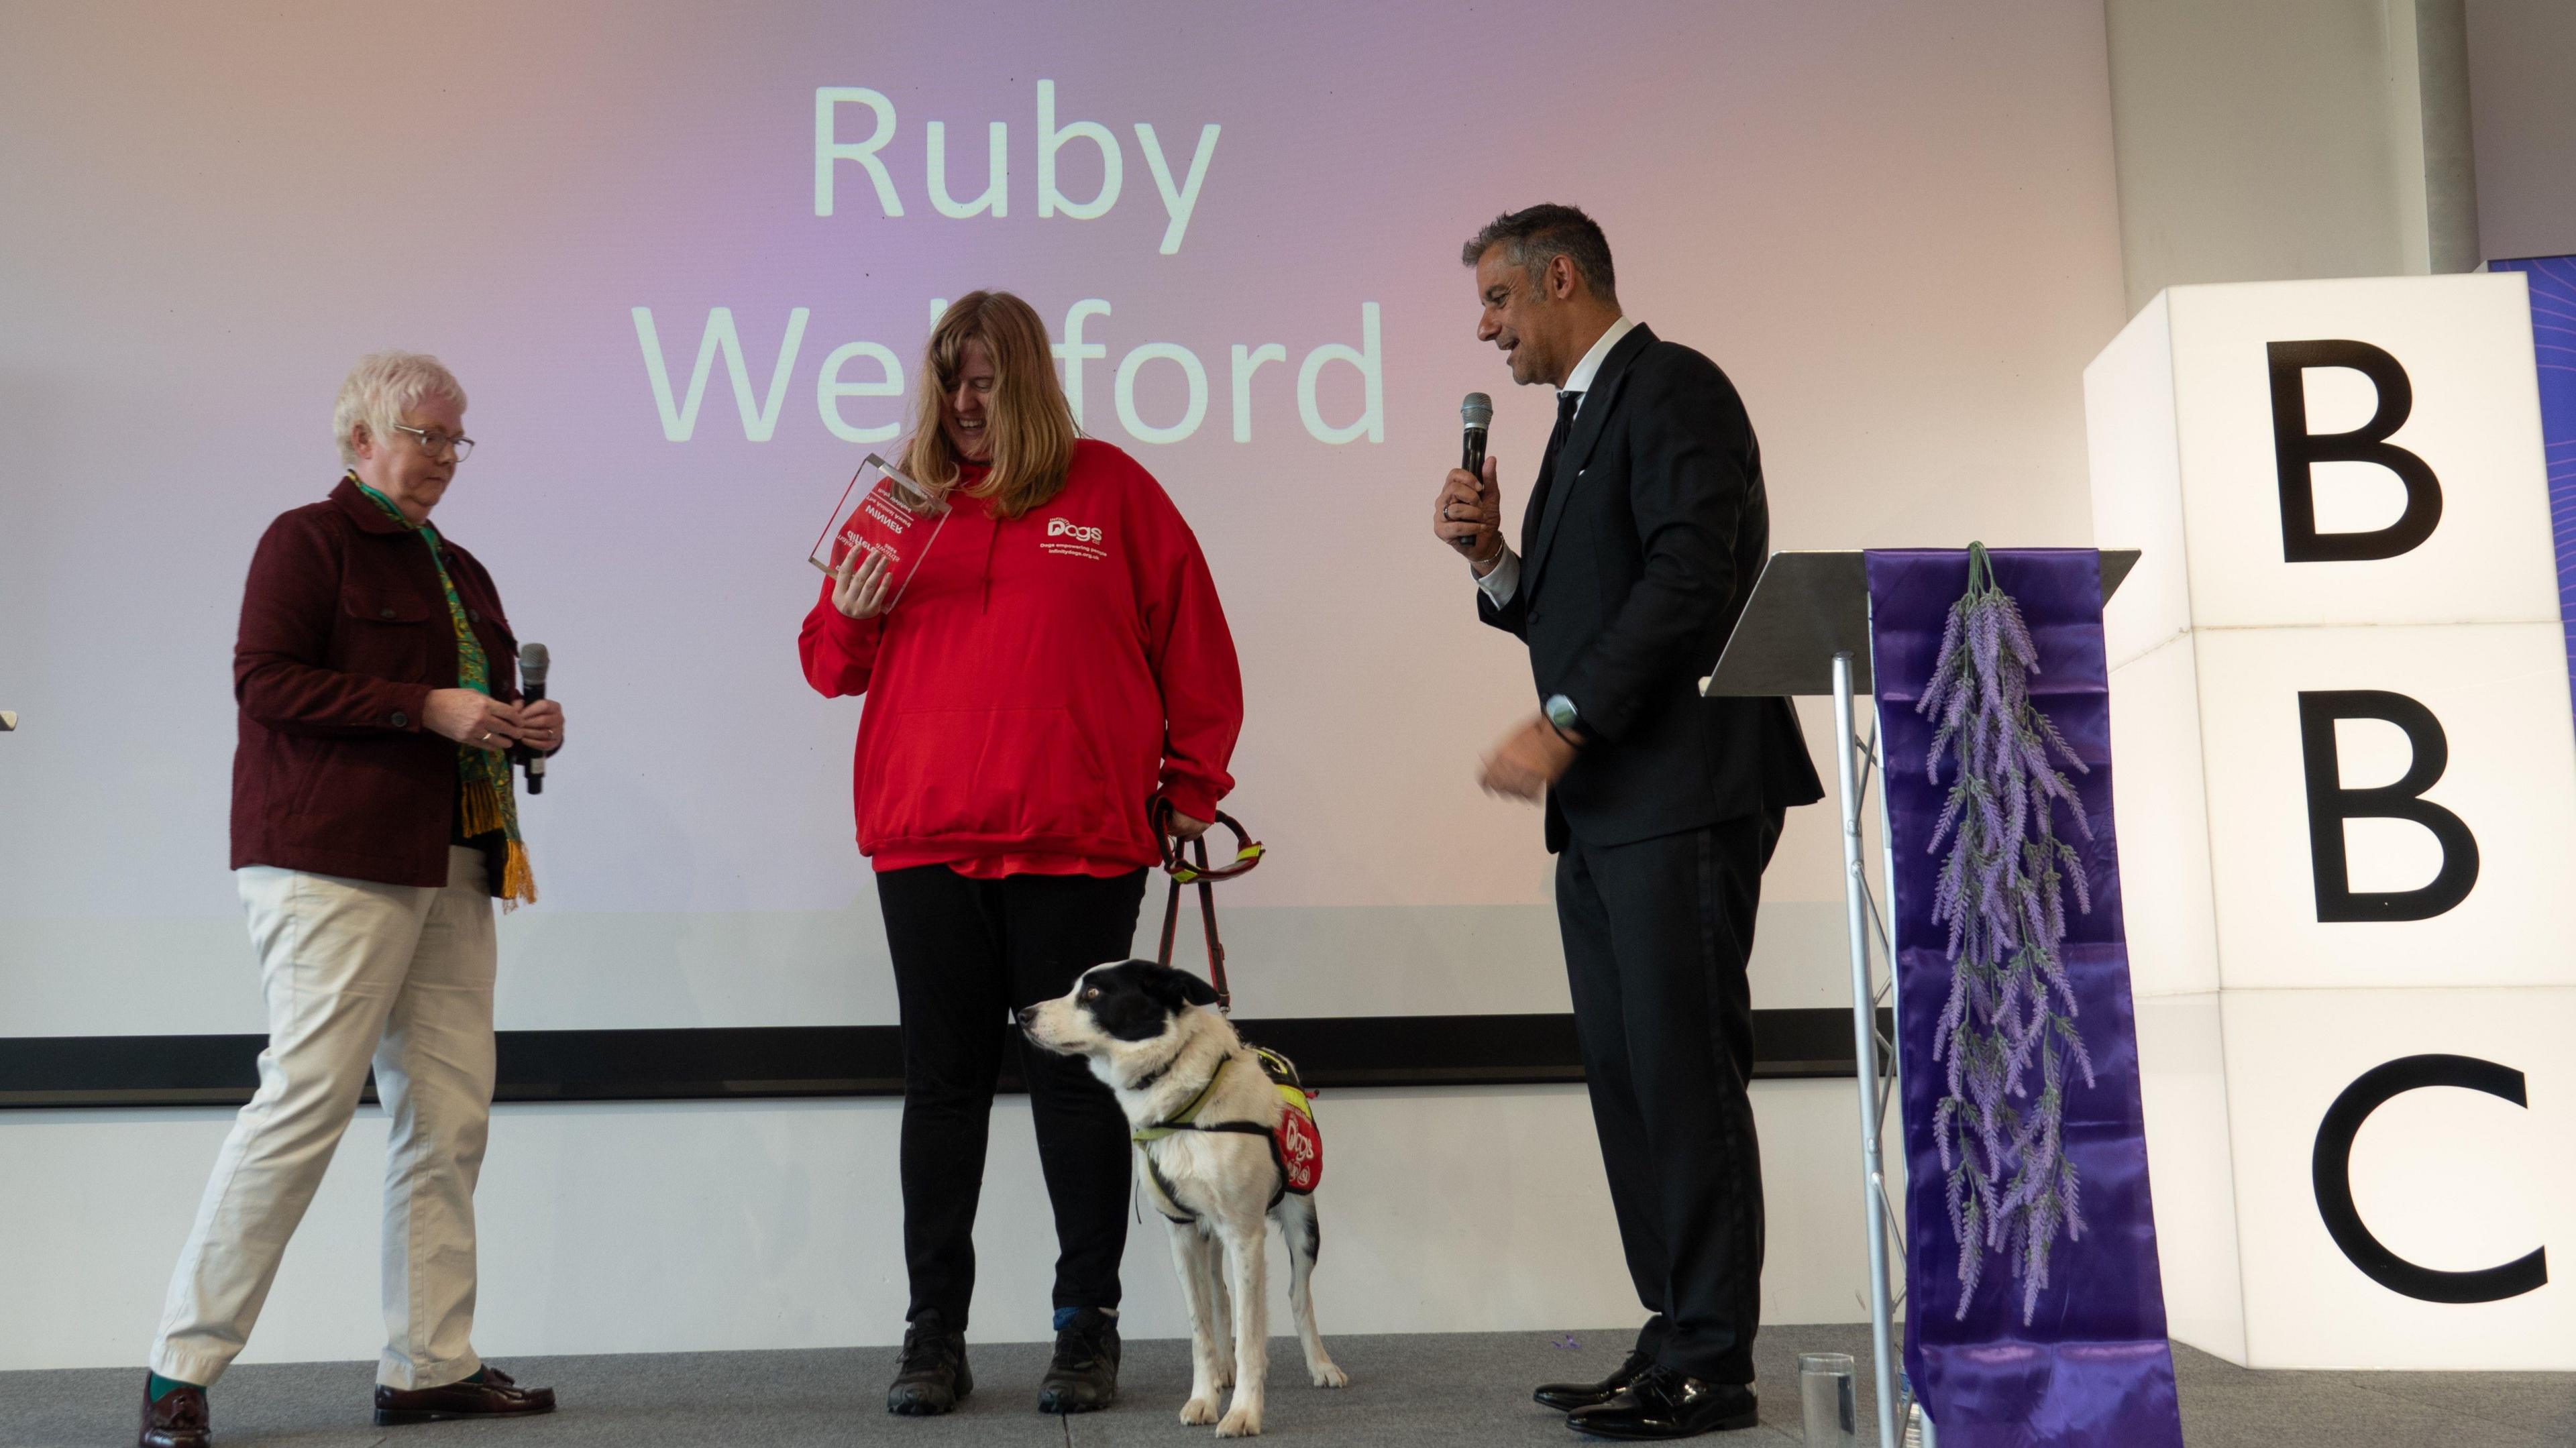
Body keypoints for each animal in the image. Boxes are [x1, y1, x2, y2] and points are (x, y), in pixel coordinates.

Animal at [1020, 958, 1360, 1432]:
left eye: (1093, 995)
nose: (1023, 1015)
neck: (1180, 1102)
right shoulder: (1180, 1231)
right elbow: (1201, 1328)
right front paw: (1204, 1397)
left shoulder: (1244, 1233)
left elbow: (1251, 1333)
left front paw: (1244, 1412)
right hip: (1207, 1232)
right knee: (1220, 1293)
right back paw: (1224, 1371)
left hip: (1302, 1221)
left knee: (1297, 1294)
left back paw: (1321, 1365)